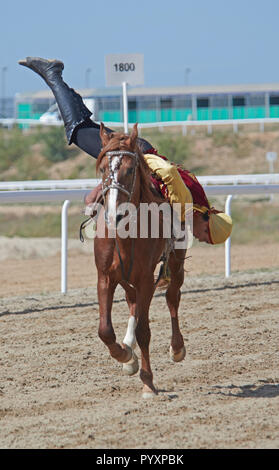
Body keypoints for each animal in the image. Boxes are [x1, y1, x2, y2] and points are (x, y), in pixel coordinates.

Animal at [93, 122, 187, 396]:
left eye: (130, 169)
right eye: (103, 169)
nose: (114, 215)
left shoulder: (146, 278)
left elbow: (145, 330)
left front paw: (148, 381)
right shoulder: (105, 277)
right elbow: (105, 330)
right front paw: (125, 355)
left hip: (176, 262)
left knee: (172, 297)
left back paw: (177, 347)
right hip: (126, 279)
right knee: (133, 301)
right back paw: (128, 346)